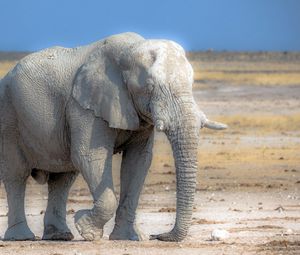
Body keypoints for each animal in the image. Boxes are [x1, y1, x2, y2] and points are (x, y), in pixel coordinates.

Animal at [0, 31, 225, 241]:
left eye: (192, 83)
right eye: (149, 87)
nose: (159, 236)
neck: (130, 50)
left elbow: (138, 161)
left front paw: (130, 237)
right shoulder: (84, 106)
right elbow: (90, 156)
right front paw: (86, 229)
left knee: (63, 178)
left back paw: (59, 236)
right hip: (9, 117)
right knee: (16, 174)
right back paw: (21, 237)